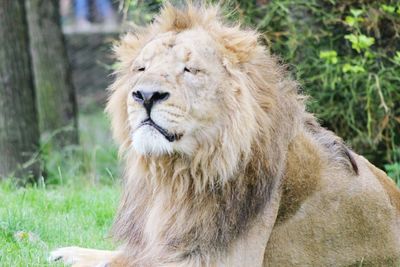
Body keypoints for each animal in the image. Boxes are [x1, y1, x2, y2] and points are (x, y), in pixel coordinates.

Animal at [49, 2, 400, 267]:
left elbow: (129, 261)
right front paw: (68, 253)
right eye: (141, 69)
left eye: (190, 70)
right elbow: (121, 255)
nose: (145, 96)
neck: (177, 175)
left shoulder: (221, 259)